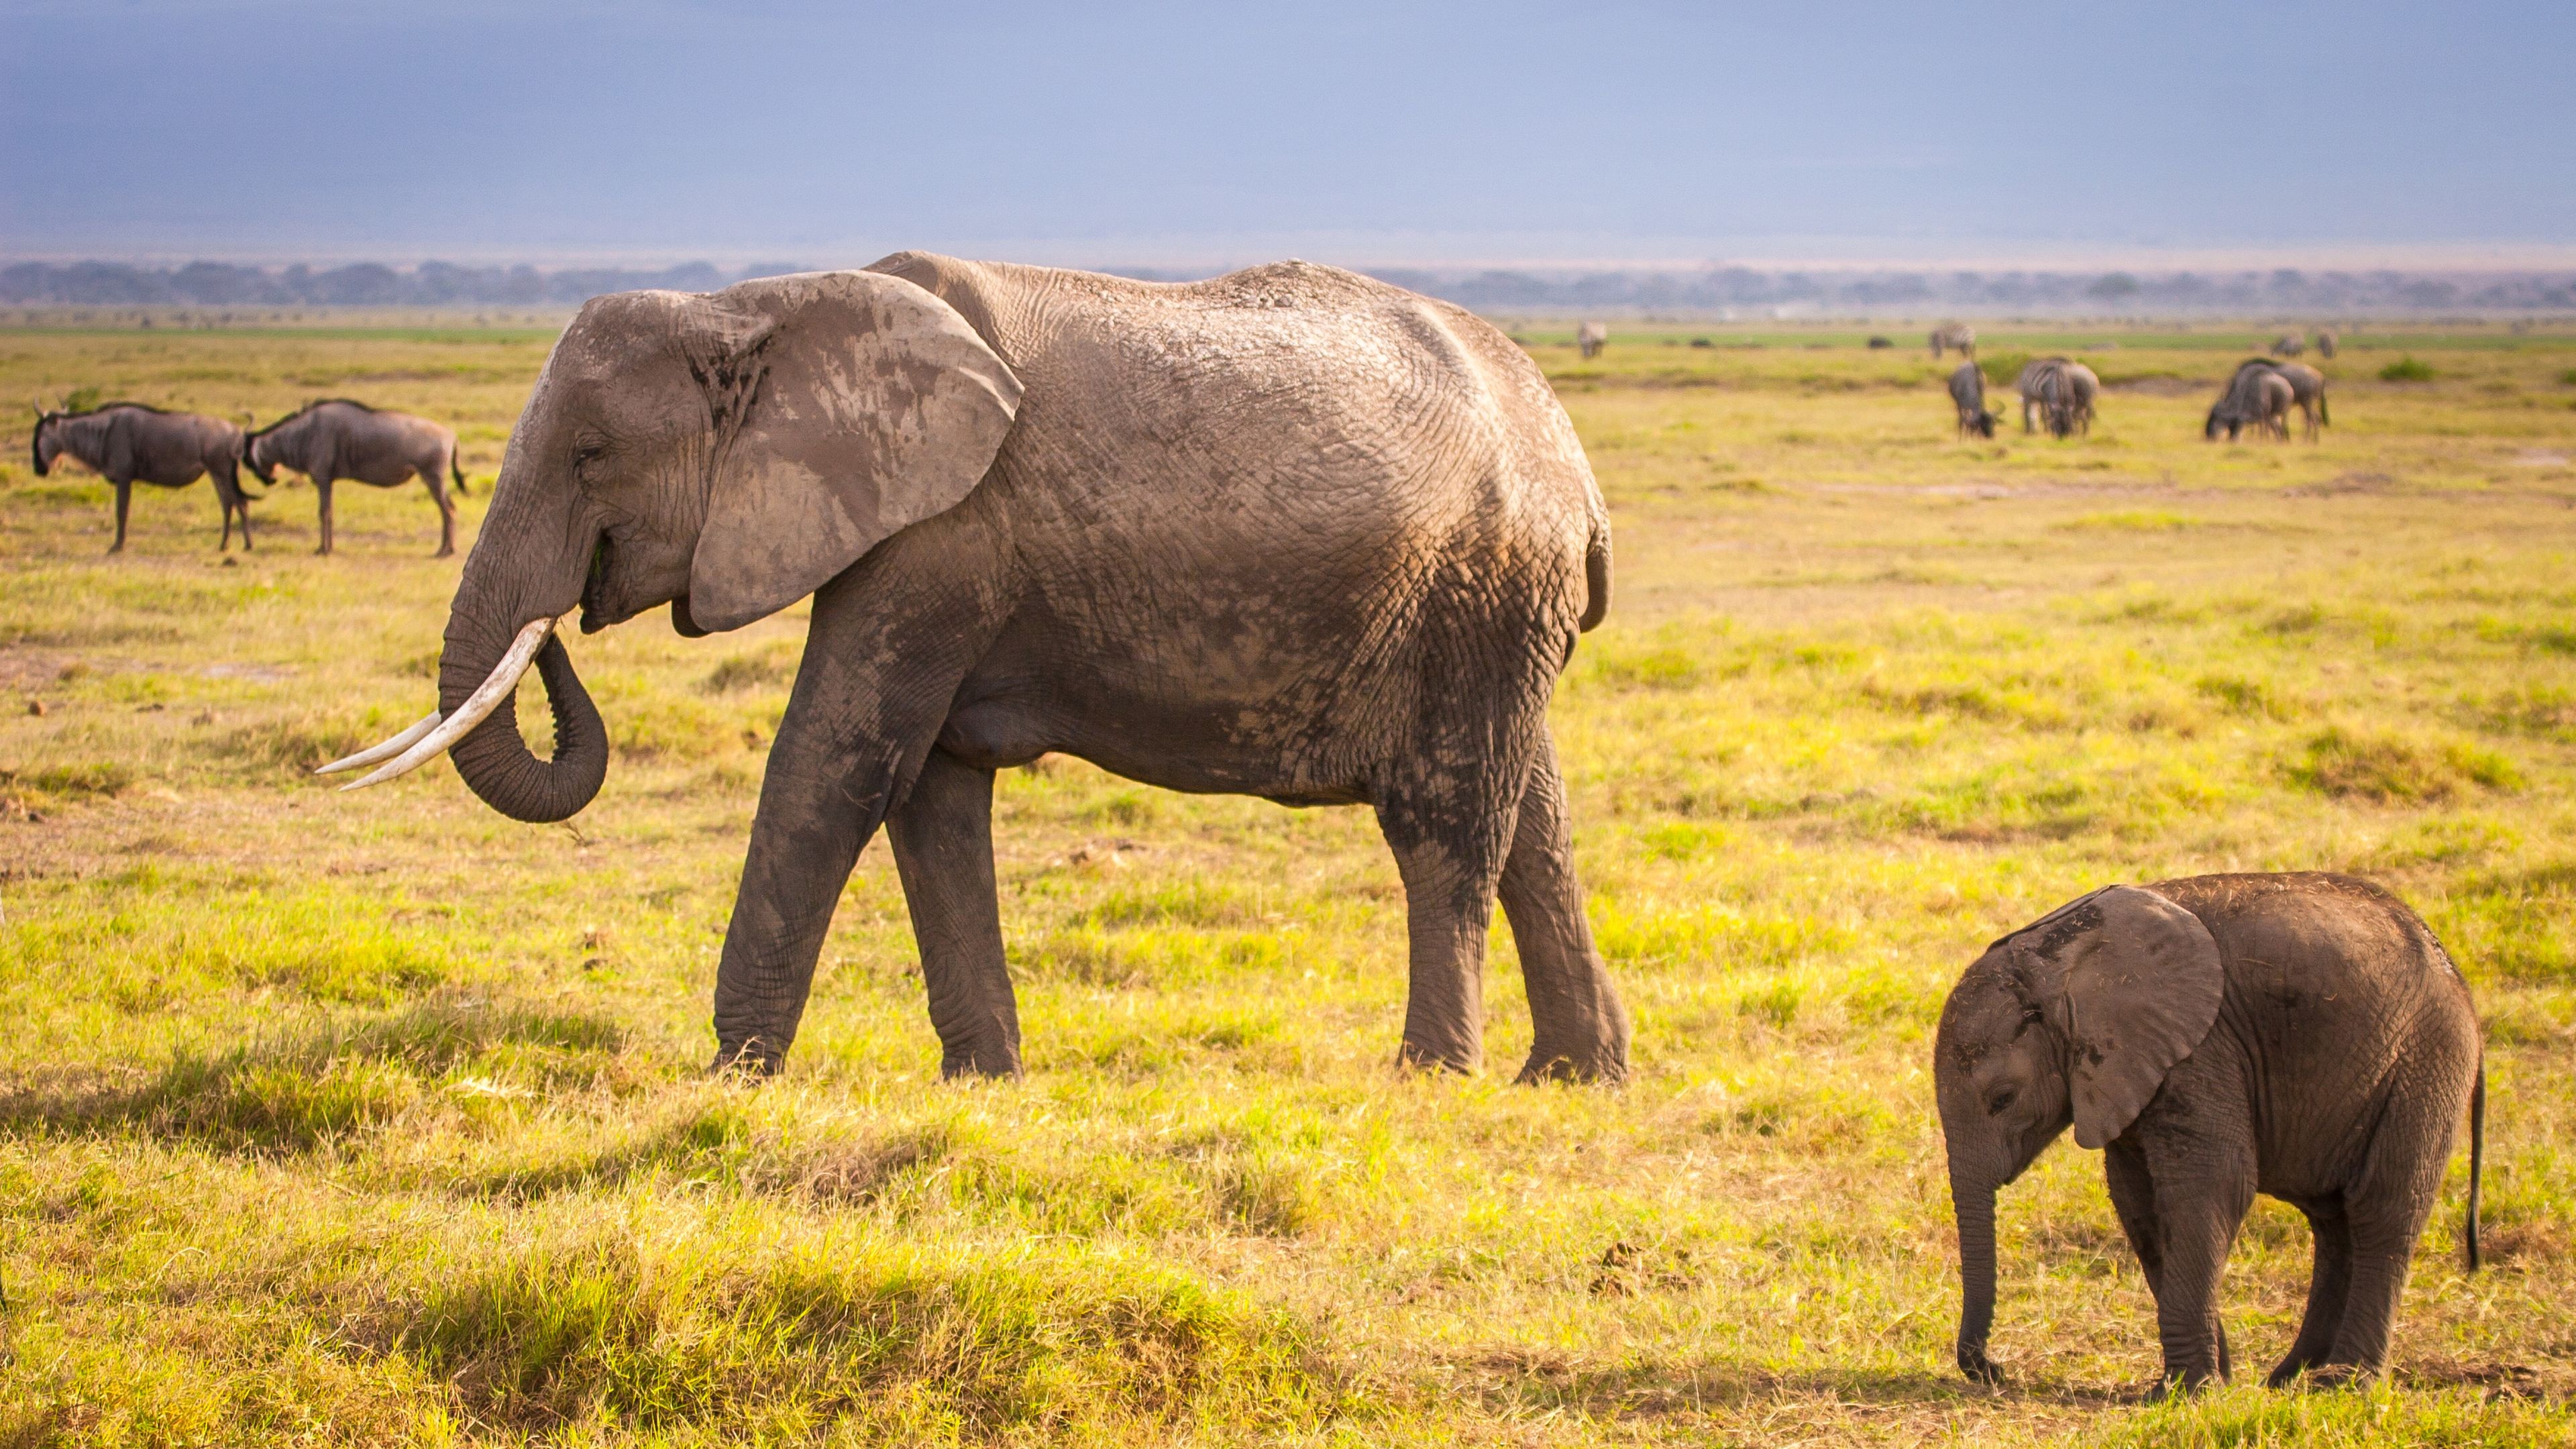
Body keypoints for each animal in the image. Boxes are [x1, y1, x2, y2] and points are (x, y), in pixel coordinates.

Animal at [30, 399, 258, 551]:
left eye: (40, 435)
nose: (39, 469)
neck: (103, 431)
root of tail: (238, 432)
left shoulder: (124, 478)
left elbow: (121, 511)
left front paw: (117, 546)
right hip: (217, 473)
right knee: (228, 504)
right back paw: (224, 545)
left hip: (220, 471)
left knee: (238, 503)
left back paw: (246, 545)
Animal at [246, 396, 468, 554]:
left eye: (246, 460)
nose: (269, 480)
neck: (304, 432)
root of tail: (452, 435)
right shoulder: (329, 482)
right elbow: (330, 512)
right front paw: (328, 547)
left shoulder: (323, 479)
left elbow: (324, 513)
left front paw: (323, 549)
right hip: (434, 480)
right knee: (449, 509)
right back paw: (445, 548)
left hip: (432, 478)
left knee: (448, 510)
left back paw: (446, 551)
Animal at [337, 251, 1627, 1083]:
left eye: (593, 456)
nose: (563, 627)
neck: (758, 304)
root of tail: (1574, 457)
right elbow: (931, 791)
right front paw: (985, 1082)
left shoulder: (938, 537)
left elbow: (836, 763)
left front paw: (734, 1079)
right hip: (1497, 616)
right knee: (1534, 816)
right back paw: (1569, 1078)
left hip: (1478, 585)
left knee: (1446, 822)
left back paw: (1431, 1078)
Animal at [1937, 866, 2483, 1392]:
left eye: (2002, 1099)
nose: (1994, 1370)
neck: (2055, 959)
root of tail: (2460, 980)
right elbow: (2138, 1203)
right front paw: (2209, 1378)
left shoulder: (2200, 1048)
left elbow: (2212, 1186)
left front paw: (2186, 1390)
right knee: (2334, 1224)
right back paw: (2287, 1380)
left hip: (2424, 1064)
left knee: (2383, 1211)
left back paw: (2342, 1383)